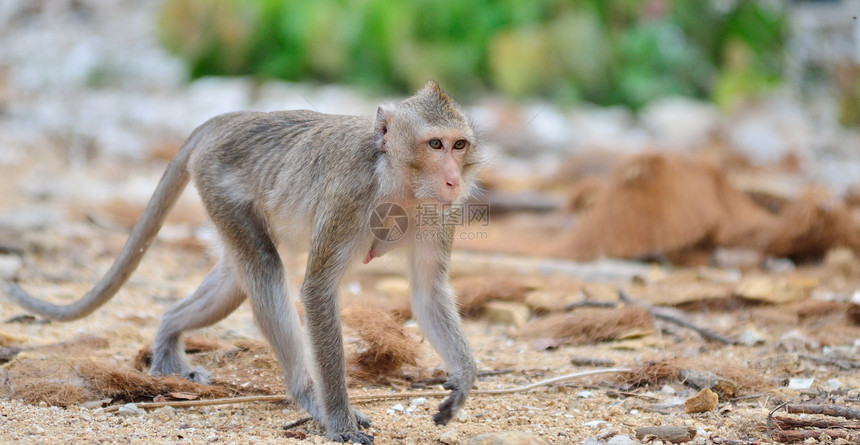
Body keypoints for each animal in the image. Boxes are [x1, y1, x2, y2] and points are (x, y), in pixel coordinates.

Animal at [1, 80, 484, 444]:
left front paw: (463, 378)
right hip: (219, 184)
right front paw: (339, 418)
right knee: (265, 271)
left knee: (236, 280)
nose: (453, 180)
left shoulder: (441, 213)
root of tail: (230, 119)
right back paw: (307, 396)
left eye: (459, 145)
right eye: (435, 144)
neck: (397, 182)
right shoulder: (349, 196)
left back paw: (169, 332)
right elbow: (317, 291)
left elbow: (428, 291)